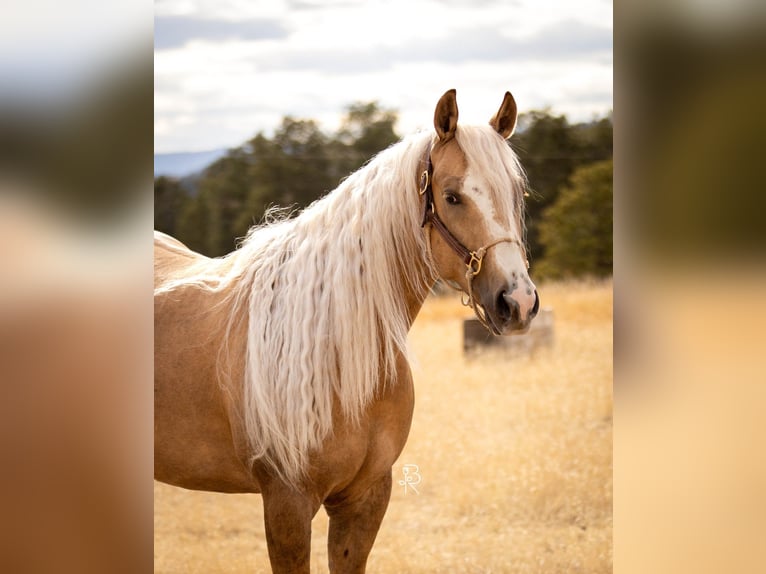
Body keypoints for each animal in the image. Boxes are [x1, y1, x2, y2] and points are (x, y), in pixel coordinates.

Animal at [154, 89, 539, 573]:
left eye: (517, 193)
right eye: (451, 197)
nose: (518, 302)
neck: (330, 345)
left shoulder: (366, 497)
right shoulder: (286, 504)